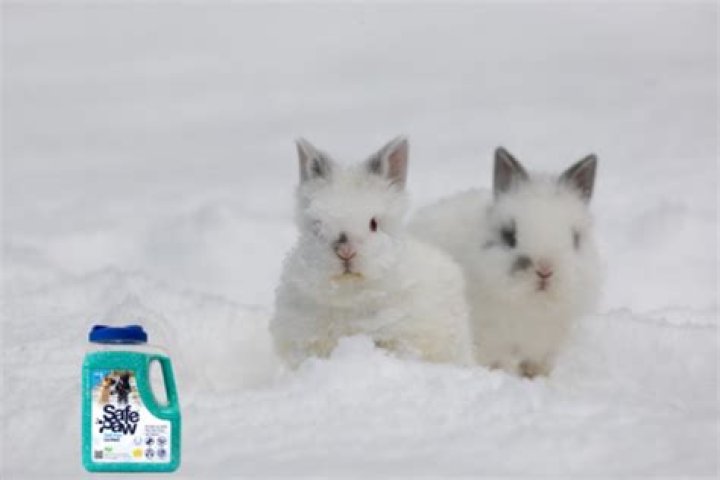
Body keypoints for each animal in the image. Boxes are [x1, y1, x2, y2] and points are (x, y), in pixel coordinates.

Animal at [409, 147, 601, 377]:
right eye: (509, 236)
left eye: (575, 238)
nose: (545, 270)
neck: (533, 306)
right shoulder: (494, 343)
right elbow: (504, 364)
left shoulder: (546, 348)